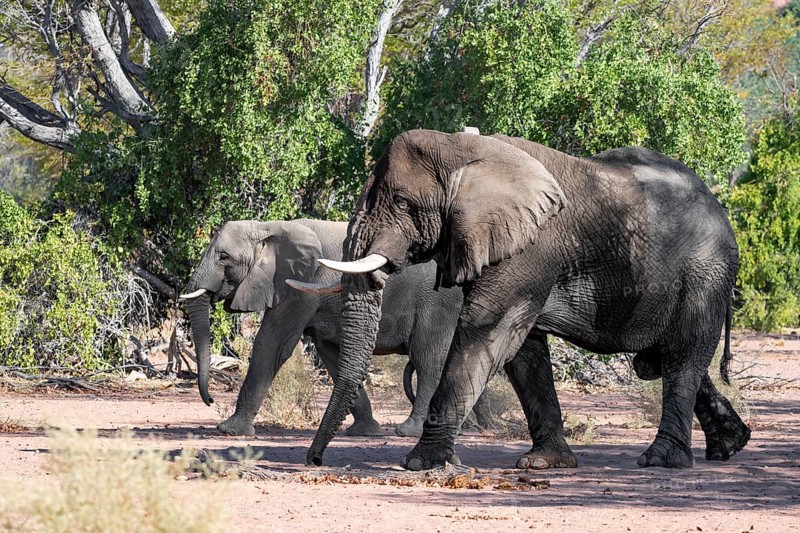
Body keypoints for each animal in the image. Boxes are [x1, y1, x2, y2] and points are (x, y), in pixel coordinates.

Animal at [179, 218, 471, 438]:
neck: (268, 226)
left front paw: (230, 430)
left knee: (427, 361)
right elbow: (333, 355)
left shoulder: (300, 283)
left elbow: (272, 343)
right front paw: (366, 432)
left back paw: (410, 431)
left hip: (437, 302)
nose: (211, 400)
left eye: (224, 257)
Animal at [294, 129, 751, 470]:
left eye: (403, 203)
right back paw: (729, 446)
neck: (465, 150)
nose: (315, 461)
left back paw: (662, 460)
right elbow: (523, 351)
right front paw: (546, 463)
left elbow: (485, 333)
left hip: (705, 272)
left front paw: (421, 463)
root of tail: (720, 207)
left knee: (681, 356)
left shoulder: (530, 247)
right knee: (662, 358)